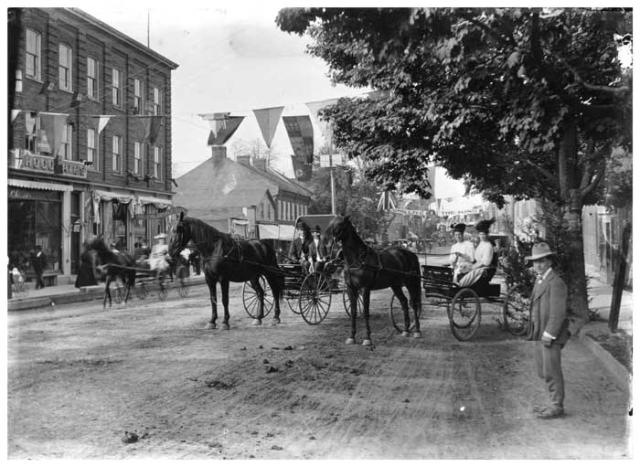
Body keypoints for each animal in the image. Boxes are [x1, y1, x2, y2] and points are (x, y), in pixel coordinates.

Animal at [328, 217, 422, 348]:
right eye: (332, 224)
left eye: (341, 225)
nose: (331, 242)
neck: (358, 259)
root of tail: (411, 254)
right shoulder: (351, 289)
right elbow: (353, 312)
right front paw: (351, 337)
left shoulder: (365, 289)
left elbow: (366, 312)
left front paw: (367, 338)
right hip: (395, 285)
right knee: (404, 302)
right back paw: (406, 330)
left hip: (410, 283)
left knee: (414, 304)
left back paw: (417, 331)